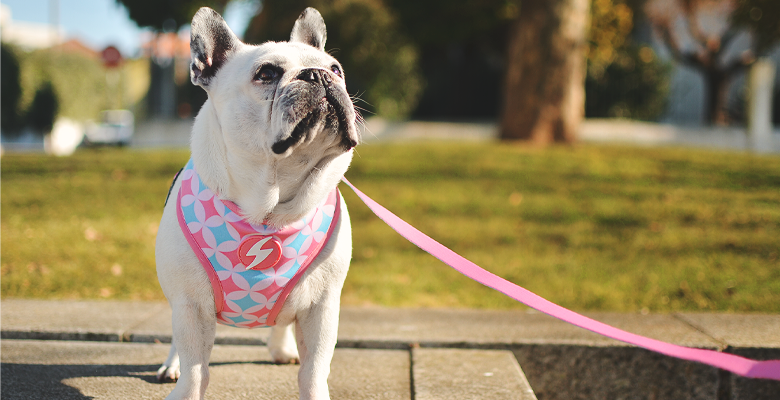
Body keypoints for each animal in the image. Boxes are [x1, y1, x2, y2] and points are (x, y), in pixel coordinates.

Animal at [155, 7, 360, 400]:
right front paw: (185, 381)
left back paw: (282, 349)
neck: (270, 205)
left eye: (337, 68)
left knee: (281, 322)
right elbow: (194, 368)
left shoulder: (322, 306)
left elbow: (315, 370)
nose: (319, 75)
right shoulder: (190, 304)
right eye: (266, 73)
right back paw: (171, 365)